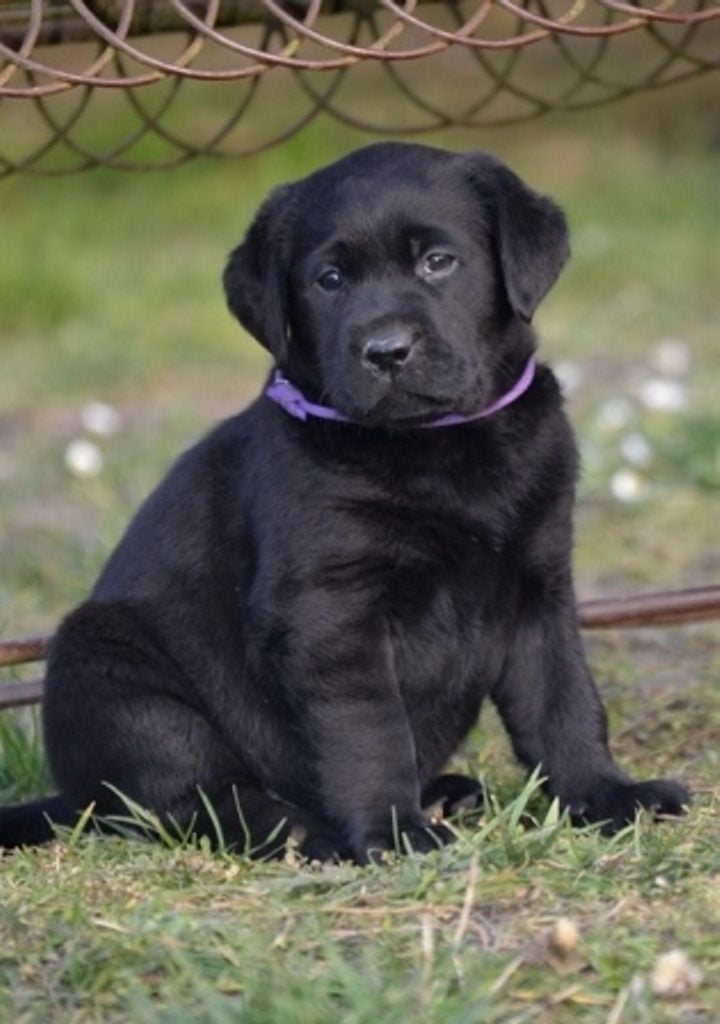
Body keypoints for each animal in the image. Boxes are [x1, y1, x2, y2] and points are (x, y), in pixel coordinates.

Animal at [0, 146, 688, 864]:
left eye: (437, 261)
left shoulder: (540, 583)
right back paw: (306, 829)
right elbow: (370, 728)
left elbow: (564, 703)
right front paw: (393, 831)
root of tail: (72, 800)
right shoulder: (331, 610)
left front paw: (607, 795)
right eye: (328, 280)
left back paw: (445, 792)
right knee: (187, 799)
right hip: (109, 670)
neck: (436, 445)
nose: (385, 351)